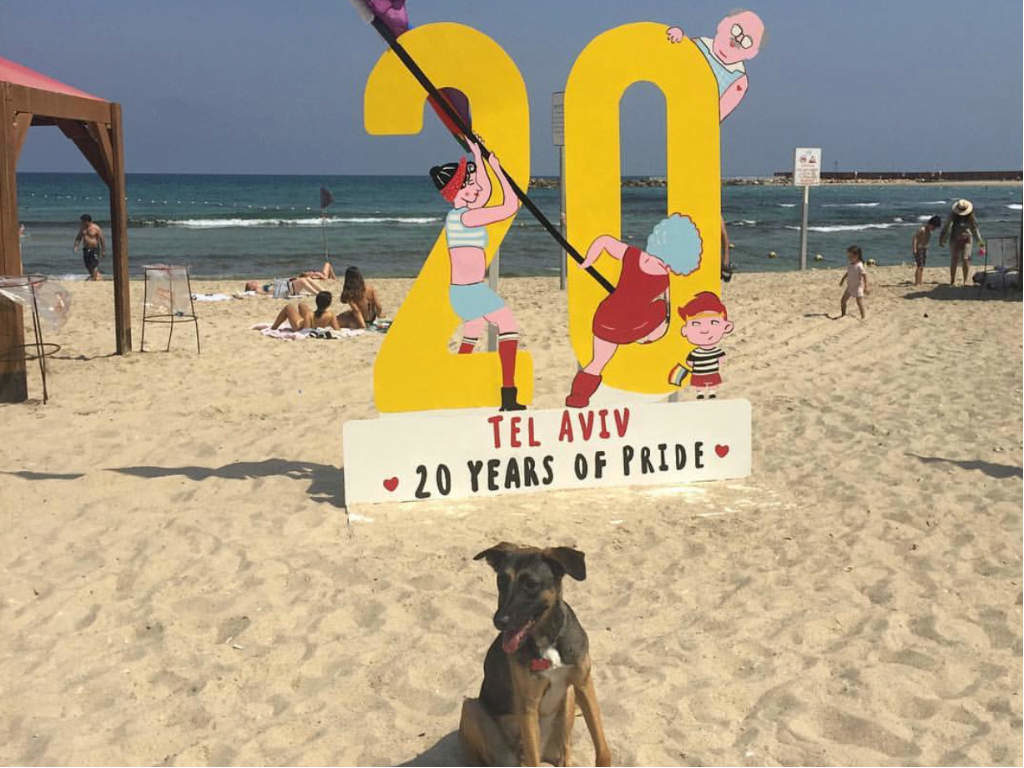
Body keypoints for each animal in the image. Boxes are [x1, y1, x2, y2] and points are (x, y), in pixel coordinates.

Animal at [460, 544, 610, 765]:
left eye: (531, 584)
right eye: (501, 581)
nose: (499, 621)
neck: (548, 639)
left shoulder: (583, 684)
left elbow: (603, 748)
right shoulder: (528, 704)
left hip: (568, 698)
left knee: (564, 751)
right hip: (471, 709)